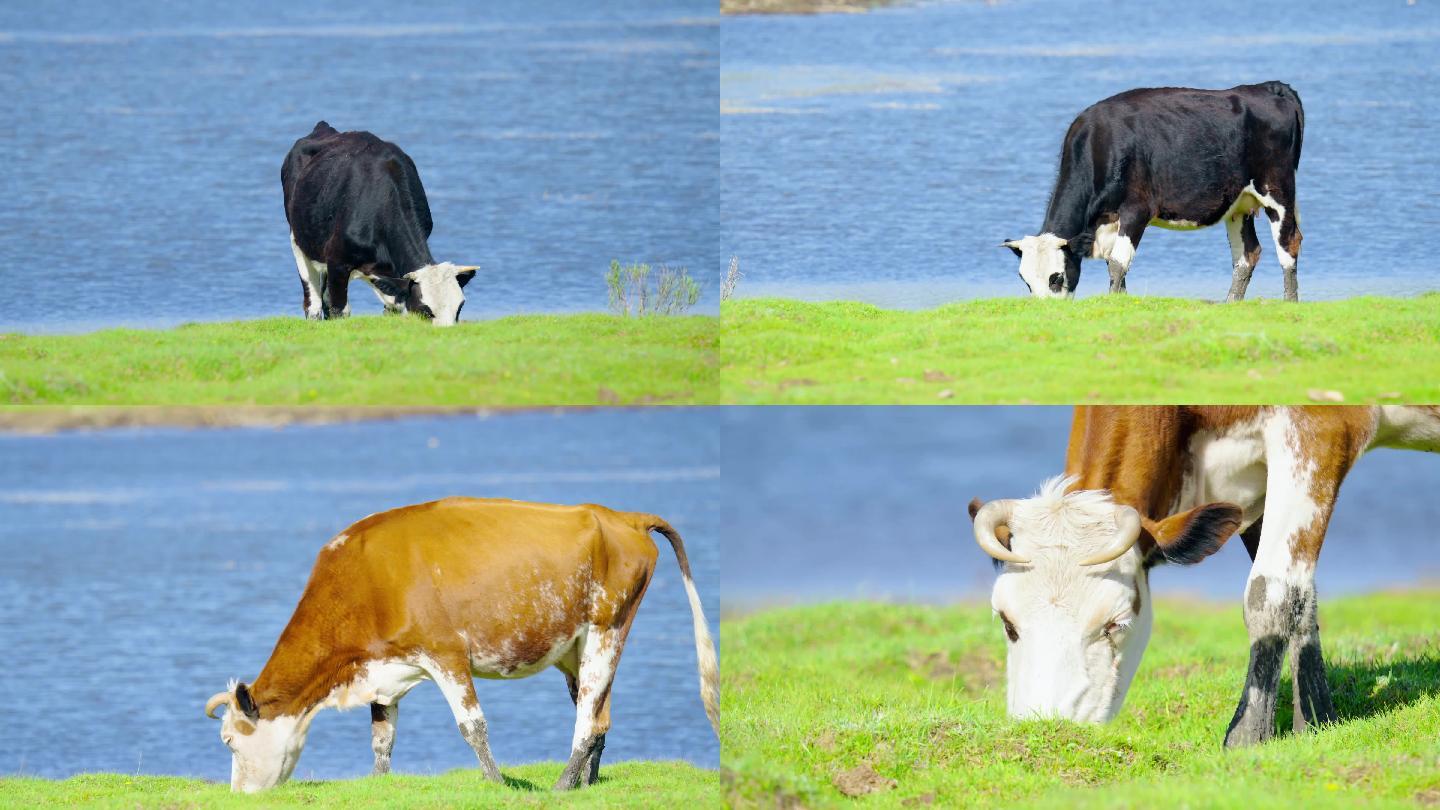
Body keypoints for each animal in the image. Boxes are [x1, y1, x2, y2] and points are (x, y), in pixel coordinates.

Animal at [203, 495, 720, 789]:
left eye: (229, 741)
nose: (238, 796)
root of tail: (622, 517)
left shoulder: (445, 653)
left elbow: (472, 726)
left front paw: (496, 785)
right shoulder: (385, 666)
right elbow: (382, 737)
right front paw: (379, 786)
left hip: (607, 628)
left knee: (587, 720)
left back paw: (560, 785)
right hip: (576, 646)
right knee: (600, 715)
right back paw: (586, 785)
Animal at [280, 121, 478, 322]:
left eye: (459, 308)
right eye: (425, 311)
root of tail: (324, 128)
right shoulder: (337, 260)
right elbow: (339, 310)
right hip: (298, 238)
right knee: (313, 302)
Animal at [967, 403, 1440, 743]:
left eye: (1114, 624)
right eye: (1007, 623)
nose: (1047, 728)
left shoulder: (1321, 429)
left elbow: (1270, 593)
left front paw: (1247, 738)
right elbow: (1301, 595)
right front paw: (1317, 723)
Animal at [1002, 83, 1307, 301]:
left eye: (1056, 278)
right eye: (1026, 281)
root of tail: (1269, 87)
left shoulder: (1136, 210)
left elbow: (1117, 264)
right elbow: (1116, 266)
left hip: (1277, 191)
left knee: (1288, 243)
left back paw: (1290, 302)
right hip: (1239, 204)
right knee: (1247, 255)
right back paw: (1231, 302)